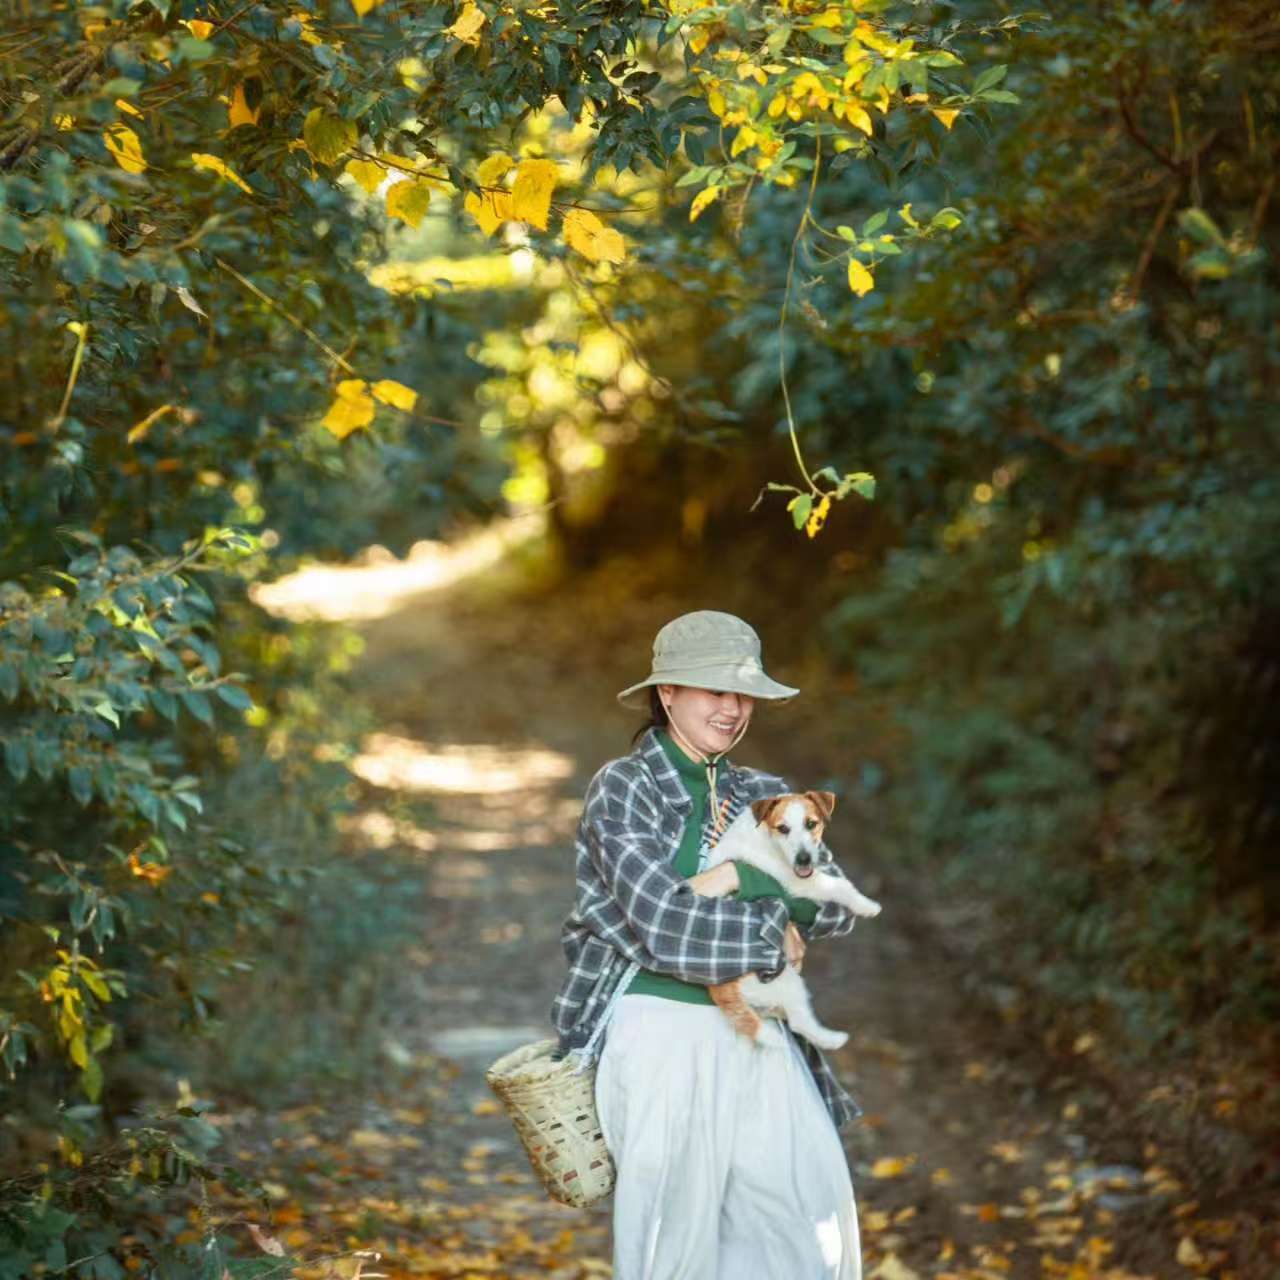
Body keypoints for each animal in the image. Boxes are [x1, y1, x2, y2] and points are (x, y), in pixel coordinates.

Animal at [701, 788, 880, 1049]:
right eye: (783, 828)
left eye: (811, 824)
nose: (804, 860)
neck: (766, 836)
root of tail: (720, 986)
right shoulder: (797, 883)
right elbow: (839, 885)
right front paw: (866, 905)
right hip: (787, 983)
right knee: (799, 1022)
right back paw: (833, 1039)